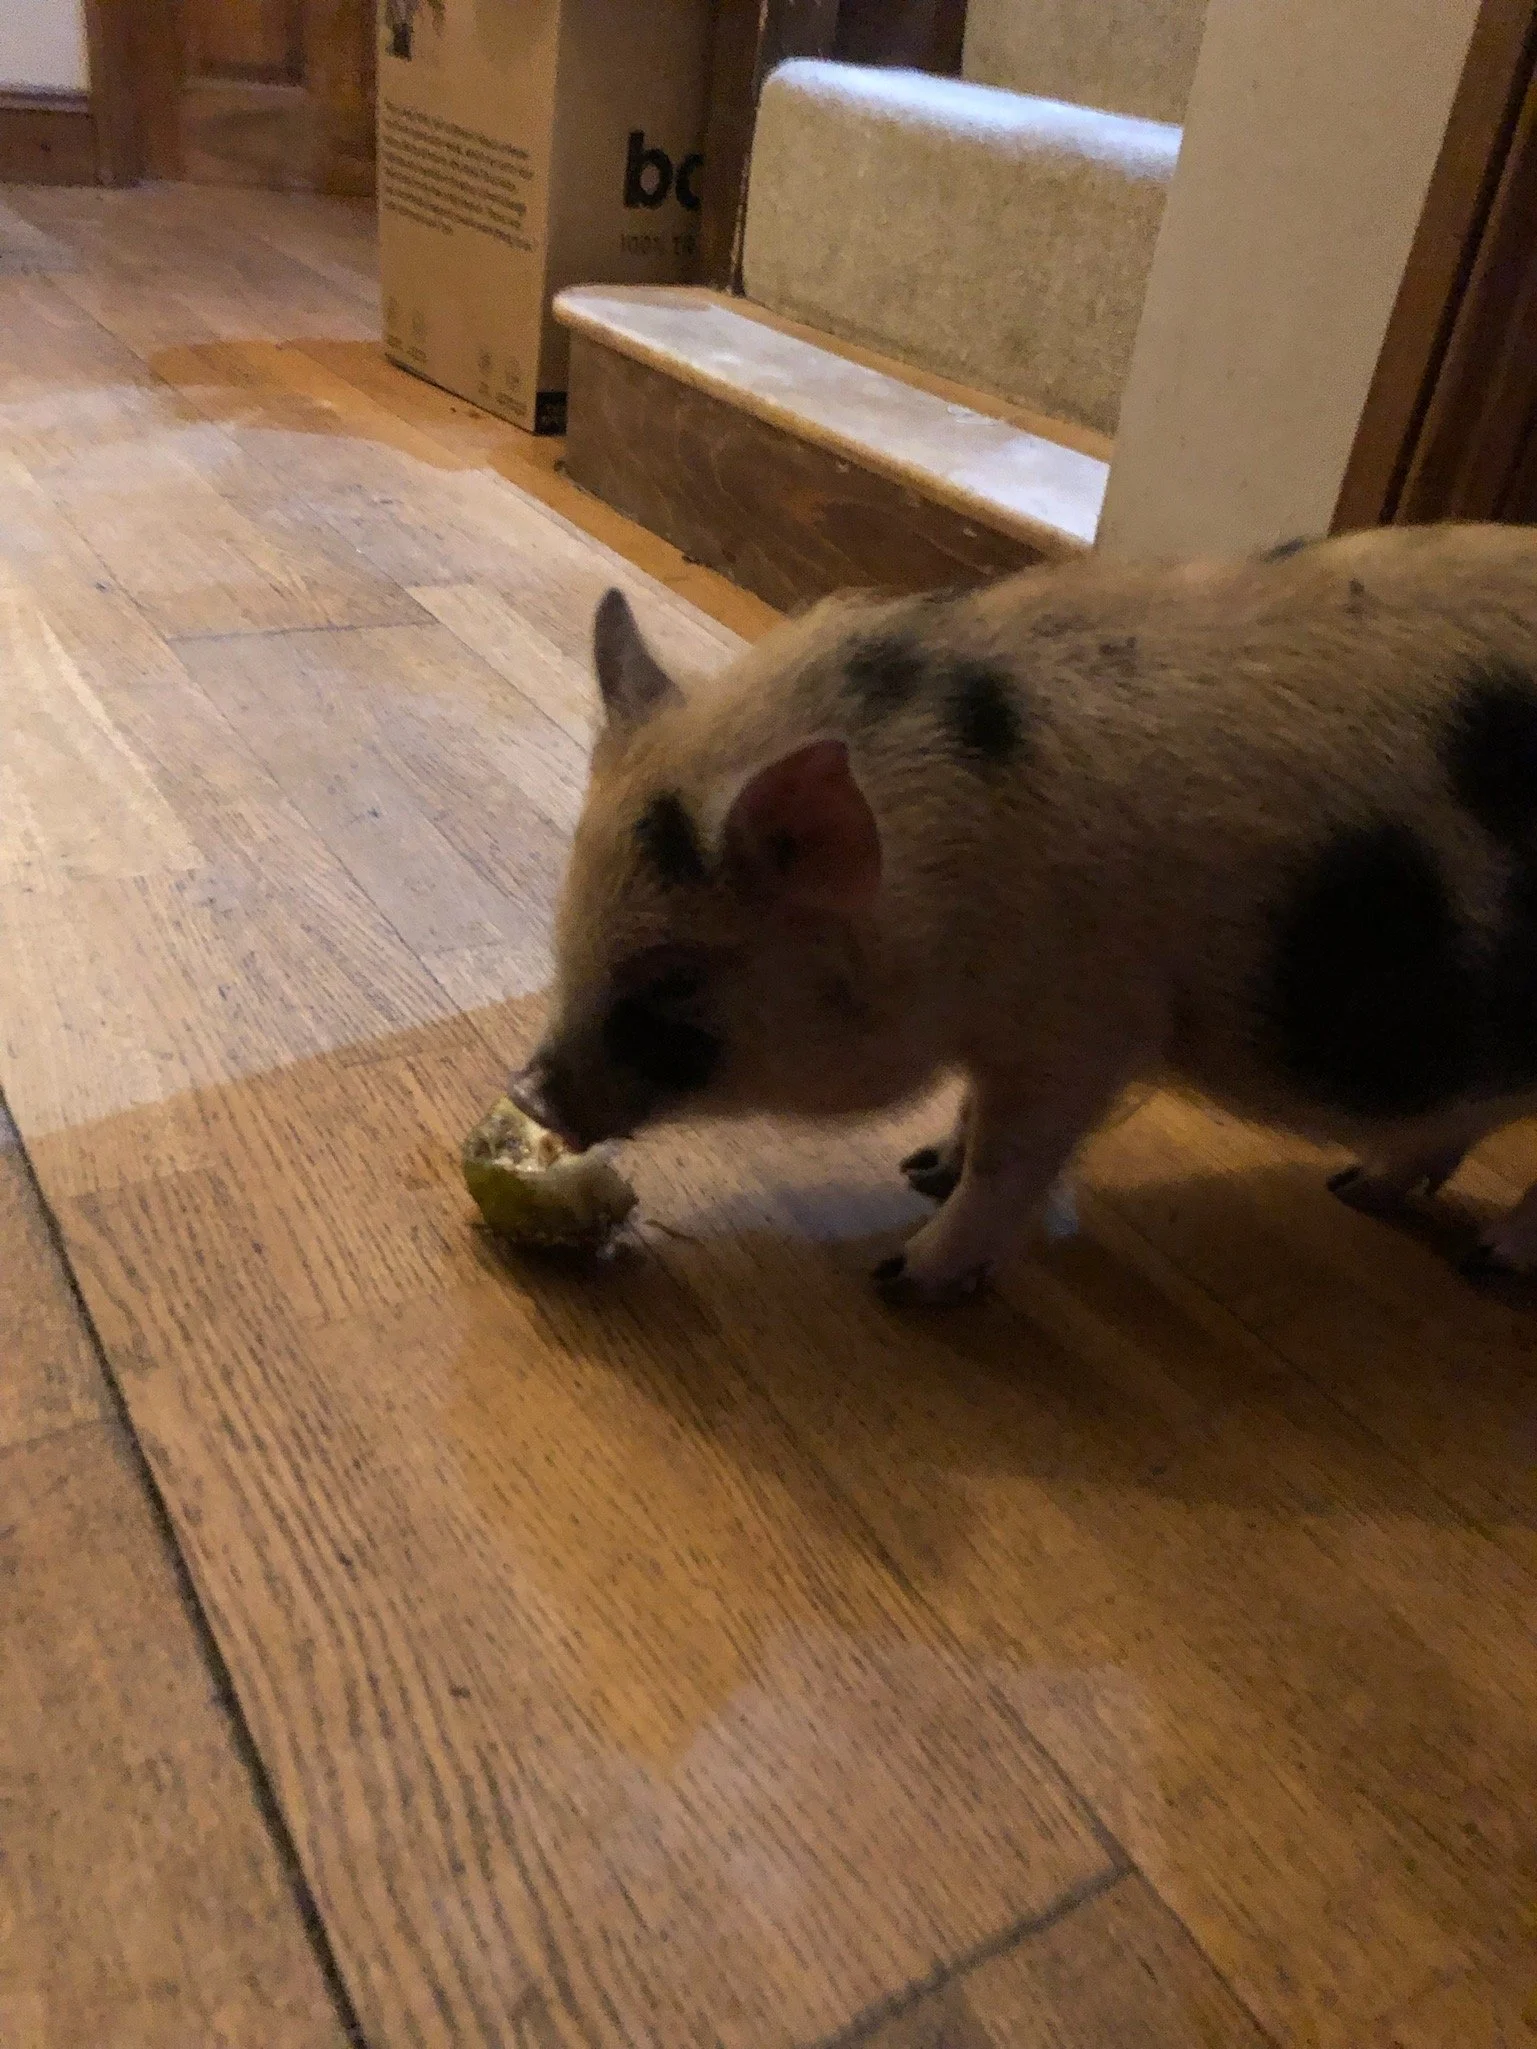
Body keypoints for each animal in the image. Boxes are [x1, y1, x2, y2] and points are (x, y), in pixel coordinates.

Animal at [509, 521, 1537, 1302]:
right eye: (568, 920)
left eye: (676, 977)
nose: (526, 1093)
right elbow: (975, 1113)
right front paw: (921, 1169)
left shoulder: (1088, 1023)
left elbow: (1013, 1155)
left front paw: (904, 1276)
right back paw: (1355, 1189)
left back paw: (1490, 1263)